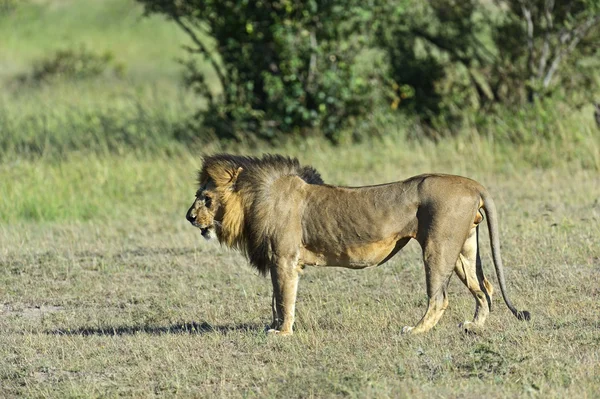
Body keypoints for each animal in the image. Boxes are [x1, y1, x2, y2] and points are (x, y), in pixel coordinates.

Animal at [184, 155, 528, 336]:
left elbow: (283, 298)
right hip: (464, 249)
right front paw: (273, 326)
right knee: (485, 287)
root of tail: (473, 184)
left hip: (438, 246)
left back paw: (415, 331)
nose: (189, 217)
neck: (253, 201)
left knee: (440, 298)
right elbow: (275, 299)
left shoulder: (284, 258)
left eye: (206, 198)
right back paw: (475, 326)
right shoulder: (276, 260)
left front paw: (281, 333)